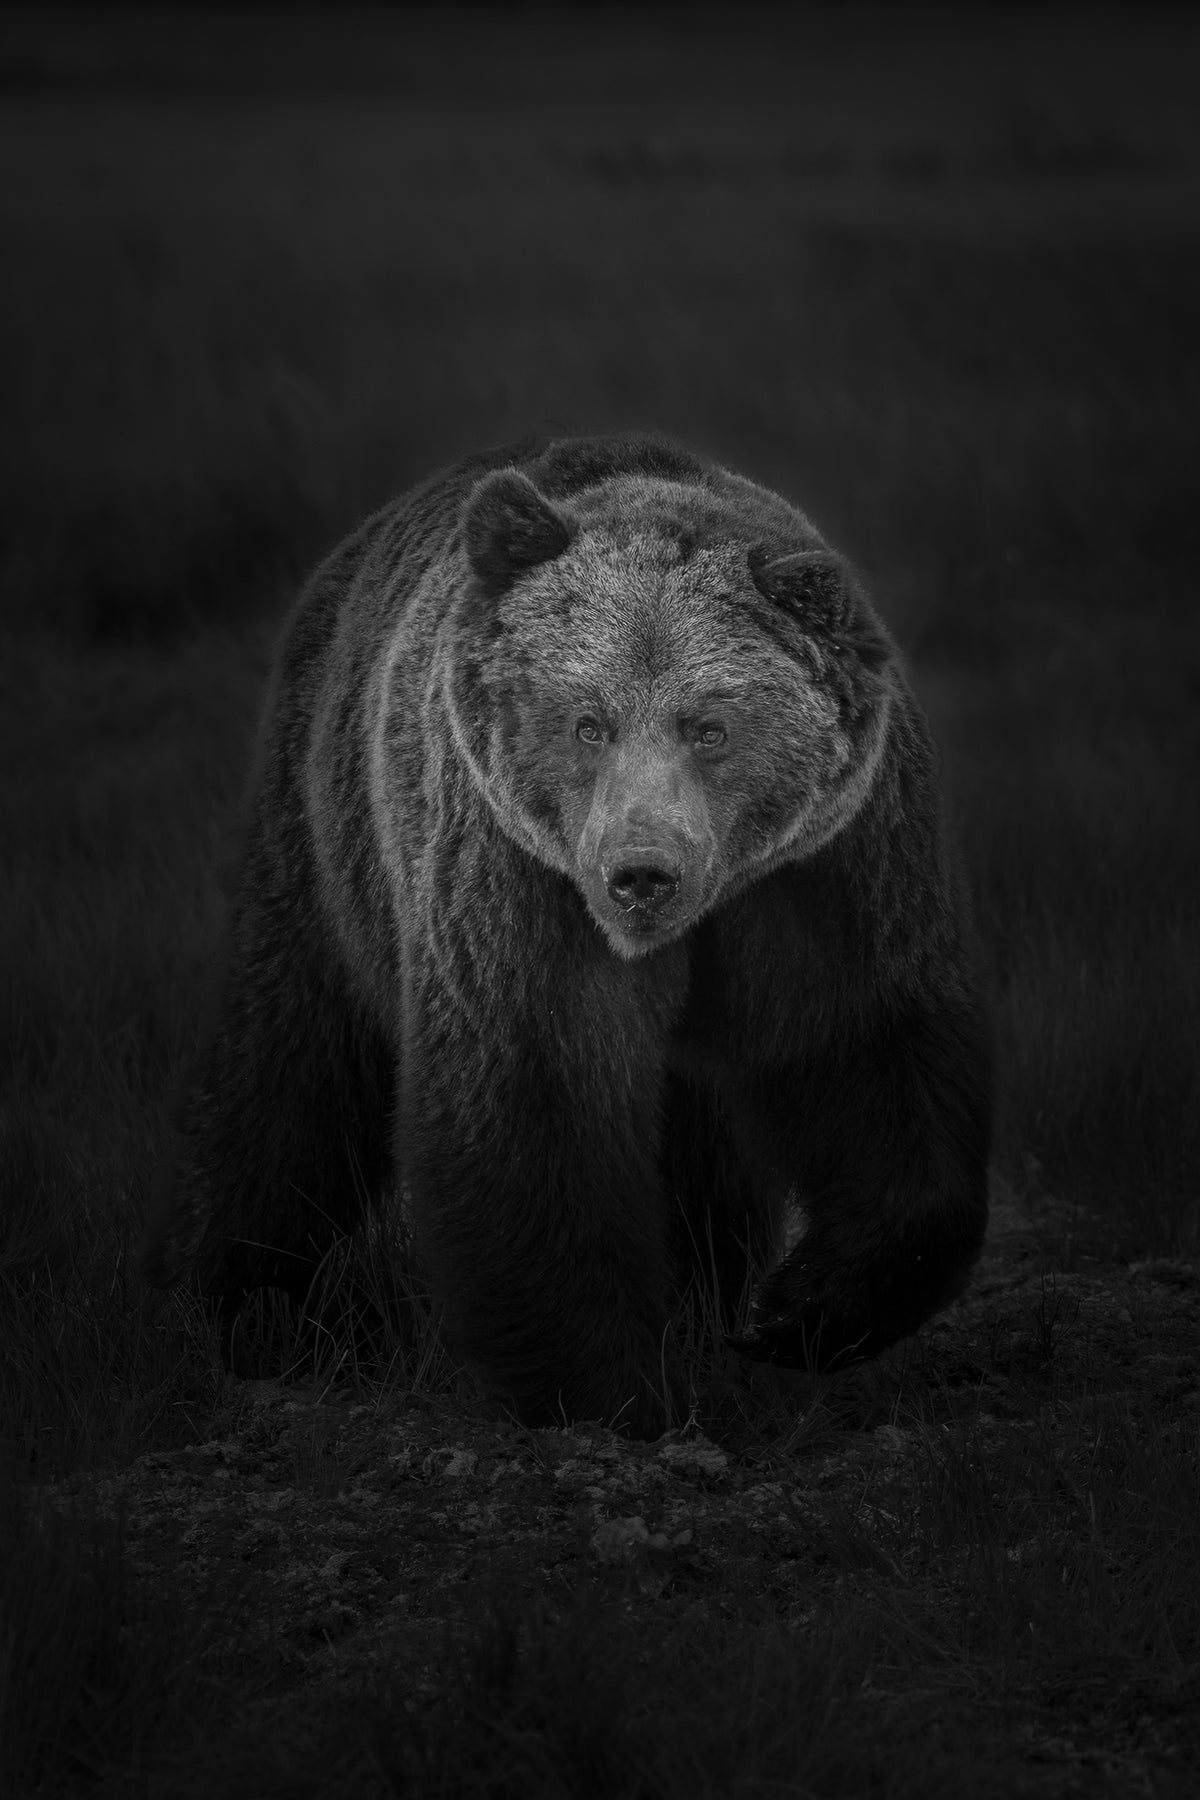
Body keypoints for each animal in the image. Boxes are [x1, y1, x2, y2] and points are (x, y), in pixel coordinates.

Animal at [143, 431, 992, 1437]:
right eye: (588, 722)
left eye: (710, 726)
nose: (641, 871)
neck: (694, 920)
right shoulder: (518, 878)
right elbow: (535, 1095)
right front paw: (613, 1393)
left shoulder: (829, 873)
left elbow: (865, 1054)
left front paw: (796, 1313)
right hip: (325, 838)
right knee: (287, 1069)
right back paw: (241, 1303)